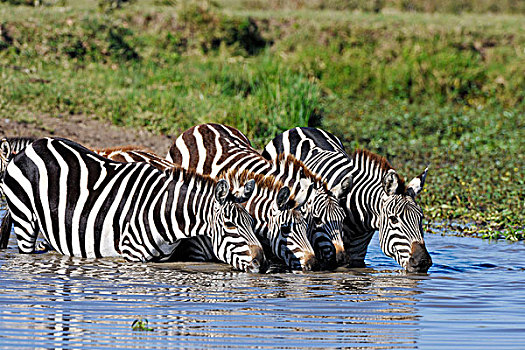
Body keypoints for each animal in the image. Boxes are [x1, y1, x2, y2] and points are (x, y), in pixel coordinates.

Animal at [0, 138, 264, 272]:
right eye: (230, 225)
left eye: (252, 223)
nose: (263, 264)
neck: (165, 213)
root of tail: (32, 145)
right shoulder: (132, 257)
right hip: (24, 220)